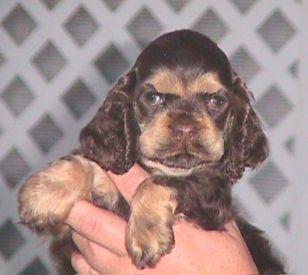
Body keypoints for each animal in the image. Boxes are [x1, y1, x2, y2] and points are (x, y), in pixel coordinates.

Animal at [18, 29, 286, 274]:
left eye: (216, 102)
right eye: (153, 97)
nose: (185, 127)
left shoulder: (212, 196)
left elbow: (160, 183)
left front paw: (146, 233)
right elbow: (87, 164)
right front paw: (45, 193)